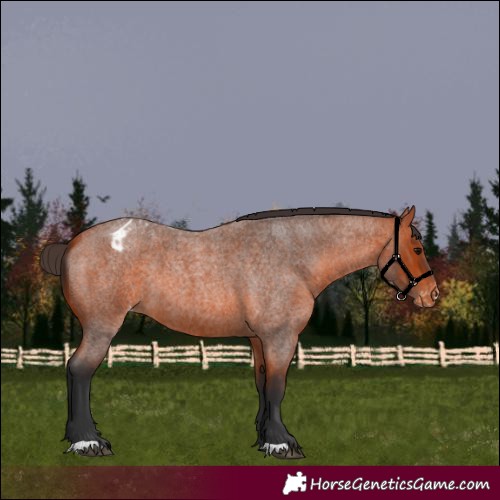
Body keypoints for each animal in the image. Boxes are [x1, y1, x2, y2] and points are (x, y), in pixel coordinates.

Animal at [40, 205, 439, 459]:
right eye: (417, 247)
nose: (432, 295)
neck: (292, 257)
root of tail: (72, 244)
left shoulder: (259, 339)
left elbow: (262, 385)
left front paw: (264, 438)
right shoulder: (280, 337)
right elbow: (277, 387)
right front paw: (283, 445)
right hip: (102, 327)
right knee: (80, 371)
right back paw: (88, 443)